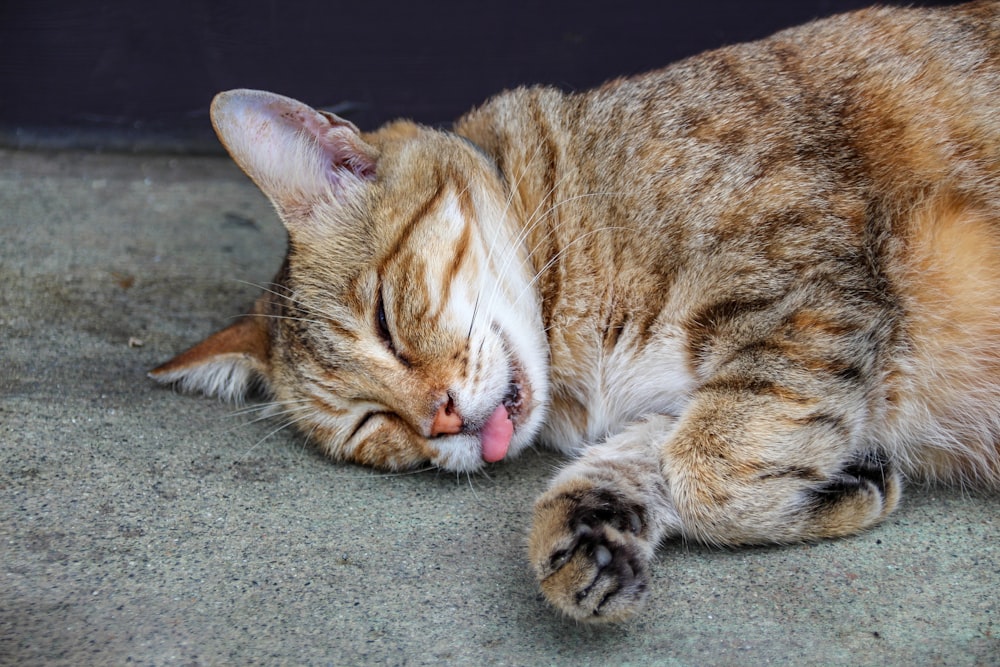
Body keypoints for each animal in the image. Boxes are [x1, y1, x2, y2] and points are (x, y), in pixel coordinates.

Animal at [150, 2, 1000, 624]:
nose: (441, 420)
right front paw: (588, 533)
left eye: (387, 321)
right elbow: (645, 458)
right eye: (369, 425)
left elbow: (707, 471)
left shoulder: (809, 285)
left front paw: (820, 490)